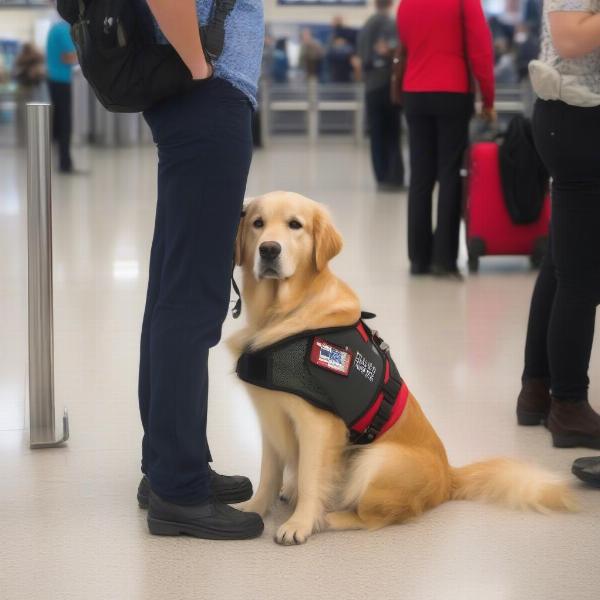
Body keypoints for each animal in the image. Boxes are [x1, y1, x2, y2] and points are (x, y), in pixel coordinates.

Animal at [229, 191, 572, 544]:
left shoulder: (318, 425)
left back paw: (332, 517)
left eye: (295, 225)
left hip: (375, 459)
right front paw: (255, 507)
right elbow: (269, 472)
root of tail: (448, 477)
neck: (283, 311)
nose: (269, 249)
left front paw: (300, 523)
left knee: (376, 516)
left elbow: (312, 478)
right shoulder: (270, 415)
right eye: (258, 223)